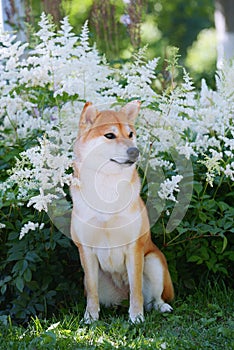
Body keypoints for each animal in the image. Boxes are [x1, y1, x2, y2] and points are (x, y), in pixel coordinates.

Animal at [70, 100, 175, 322]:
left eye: (130, 134)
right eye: (110, 135)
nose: (135, 151)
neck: (107, 188)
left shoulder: (134, 248)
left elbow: (136, 289)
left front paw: (136, 317)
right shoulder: (86, 251)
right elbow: (92, 292)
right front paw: (90, 318)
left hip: (153, 261)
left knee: (154, 297)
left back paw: (161, 307)